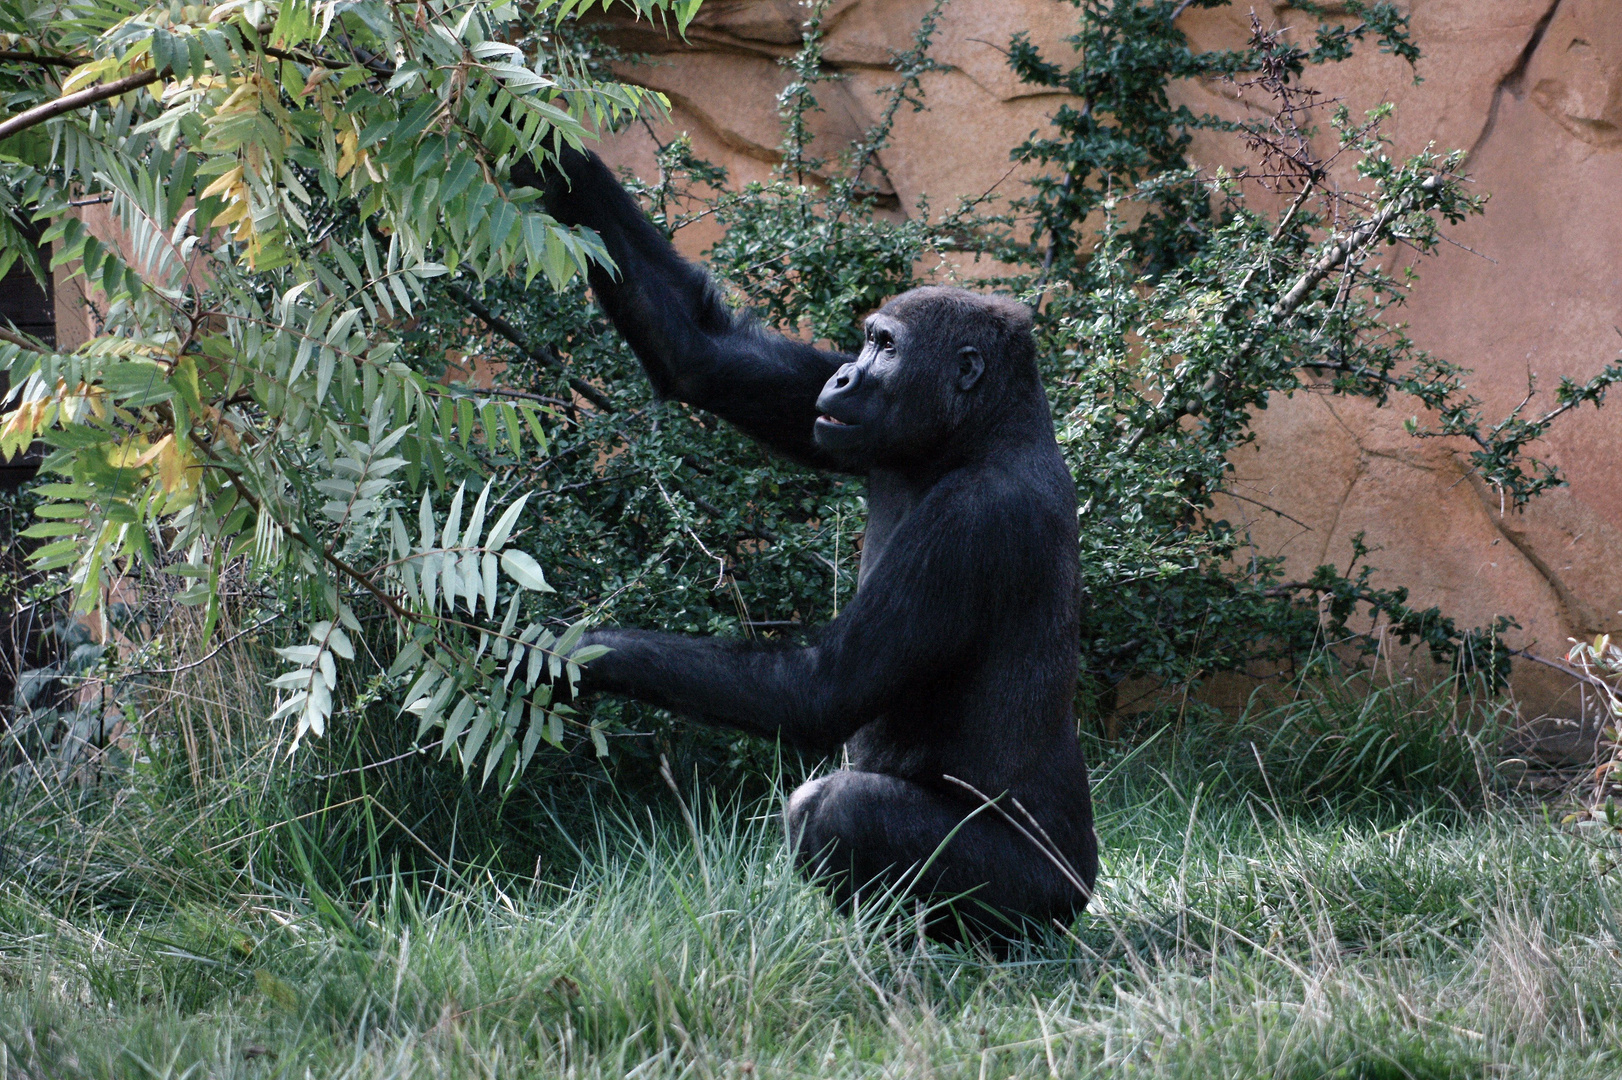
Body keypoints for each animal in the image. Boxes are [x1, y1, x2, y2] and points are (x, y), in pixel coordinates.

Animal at [515, 149, 1102, 934]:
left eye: (886, 346)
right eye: (864, 341)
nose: (845, 373)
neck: (983, 433)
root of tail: (1083, 888)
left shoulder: (974, 520)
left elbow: (821, 688)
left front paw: (553, 649)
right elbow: (704, 354)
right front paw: (554, 158)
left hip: (1043, 897)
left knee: (837, 809)